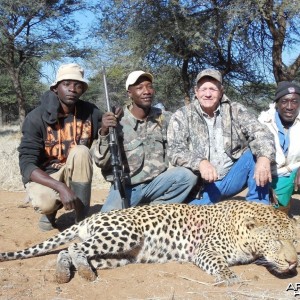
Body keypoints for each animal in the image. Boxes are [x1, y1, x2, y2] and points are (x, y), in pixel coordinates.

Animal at [0, 200, 298, 284]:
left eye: (295, 241)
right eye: (275, 242)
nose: (293, 262)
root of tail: (92, 217)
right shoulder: (205, 251)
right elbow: (220, 265)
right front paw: (230, 277)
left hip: (118, 256)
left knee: (72, 253)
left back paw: (71, 271)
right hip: (126, 232)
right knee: (72, 247)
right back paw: (76, 272)